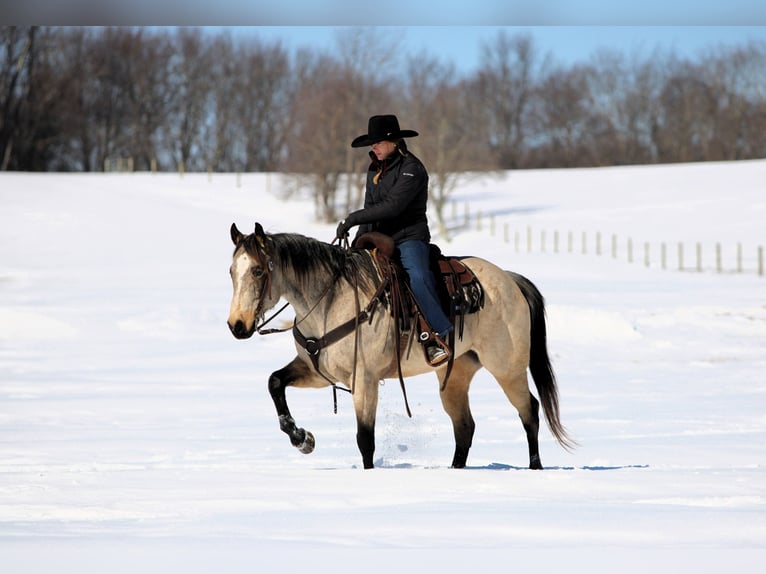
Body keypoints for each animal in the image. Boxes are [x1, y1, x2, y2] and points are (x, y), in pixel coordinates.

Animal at [227, 222, 575, 469]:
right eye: (232, 271)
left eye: (257, 270)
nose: (237, 325)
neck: (330, 300)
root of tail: (510, 279)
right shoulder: (317, 371)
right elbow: (275, 382)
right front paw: (302, 439)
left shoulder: (364, 380)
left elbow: (365, 438)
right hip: (456, 374)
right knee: (464, 426)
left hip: (507, 368)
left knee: (529, 411)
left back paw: (535, 468)